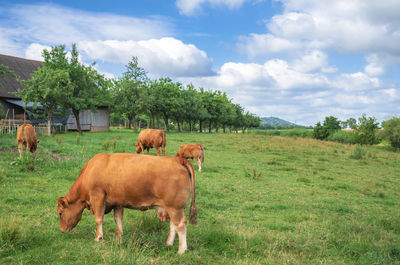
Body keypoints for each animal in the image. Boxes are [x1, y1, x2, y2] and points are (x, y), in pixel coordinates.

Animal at [57, 153, 197, 254]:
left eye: (60, 213)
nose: (62, 230)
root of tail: (177, 159)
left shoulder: (98, 197)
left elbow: (98, 219)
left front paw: (98, 237)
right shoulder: (118, 202)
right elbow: (118, 219)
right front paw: (118, 238)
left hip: (175, 207)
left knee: (180, 225)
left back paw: (181, 250)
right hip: (170, 207)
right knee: (173, 225)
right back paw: (169, 243)